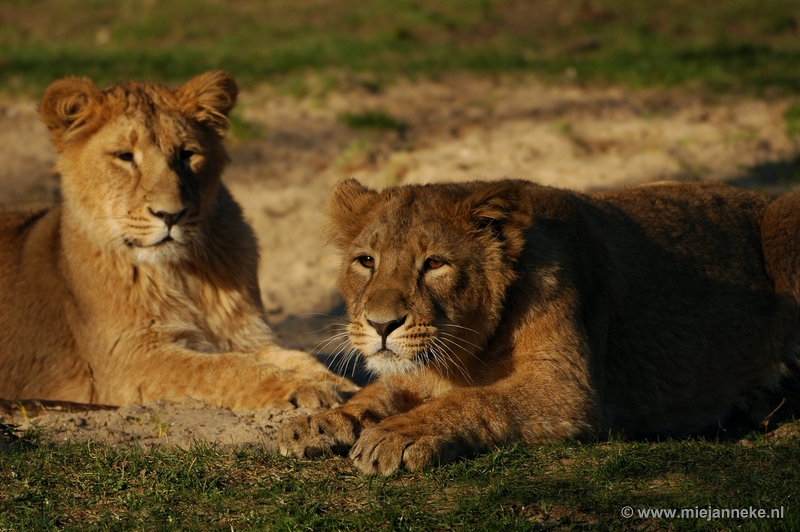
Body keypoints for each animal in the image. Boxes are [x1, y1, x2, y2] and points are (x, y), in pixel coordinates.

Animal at [0, 70, 356, 410]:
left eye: (187, 154)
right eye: (125, 156)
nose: (170, 215)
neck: (181, 273)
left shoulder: (249, 336)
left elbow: (300, 357)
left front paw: (341, 385)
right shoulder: (127, 362)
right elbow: (222, 368)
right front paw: (299, 388)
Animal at [278, 178, 796, 474]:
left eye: (435, 263)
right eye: (366, 261)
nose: (381, 325)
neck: (462, 356)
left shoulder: (568, 390)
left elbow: (476, 401)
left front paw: (397, 436)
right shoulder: (419, 371)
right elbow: (375, 395)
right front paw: (319, 423)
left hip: (784, 218)